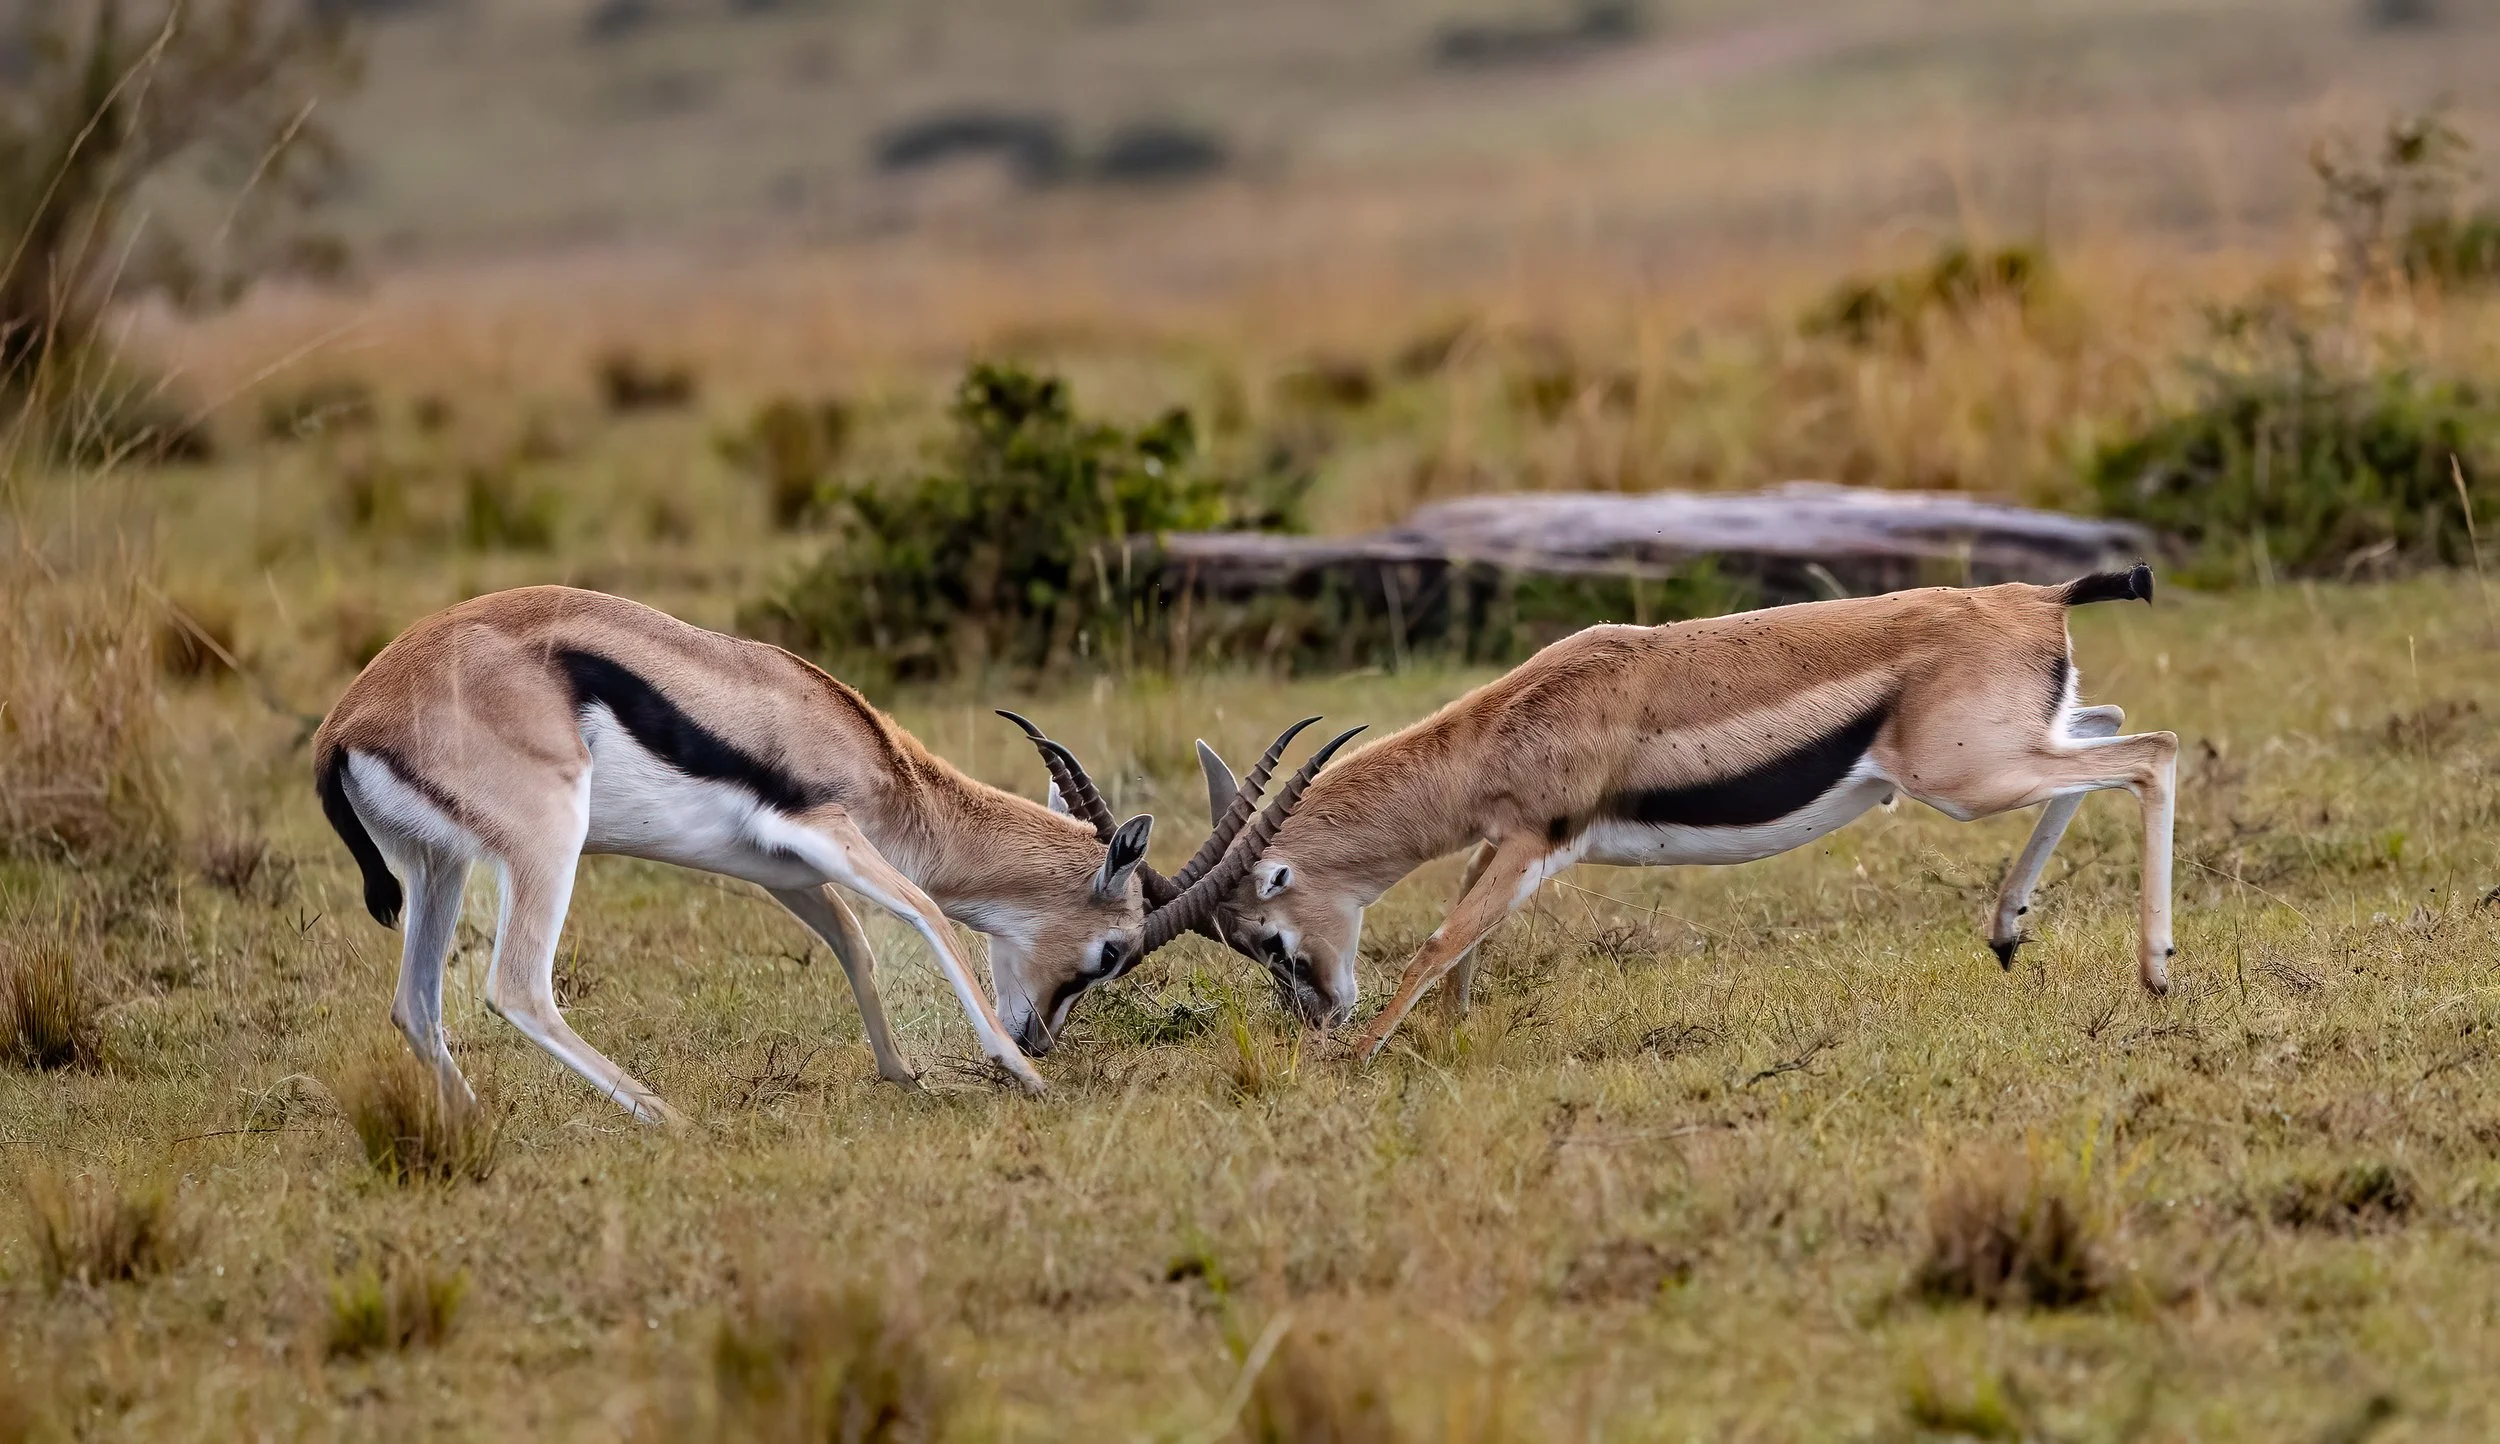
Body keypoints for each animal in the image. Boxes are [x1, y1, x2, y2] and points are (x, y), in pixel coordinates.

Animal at [312, 585, 1344, 1122]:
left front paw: (902, 1074)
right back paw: (663, 1114)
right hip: (544, 848)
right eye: (1112, 952)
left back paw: (474, 1127)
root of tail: (350, 718)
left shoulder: (783, 865)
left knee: (415, 1003)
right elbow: (923, 913)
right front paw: (1023, 1079)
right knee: (516, 987)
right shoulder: (830, 832)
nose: (1037, 1035)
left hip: (438, 869)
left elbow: (851, 941)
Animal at [1167, 567, 2176, 1060]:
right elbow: (1465, 942)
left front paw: (1361, 1059)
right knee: (2109, 725)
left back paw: (2155, 975)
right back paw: (2007, 931)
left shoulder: (1532, 843)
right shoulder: (1506, 846)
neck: (1517, 720)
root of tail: (2039, 598)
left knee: (2154, 752)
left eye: (1263, 934)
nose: (1317, 1020)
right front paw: (1452, 1038)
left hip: (1970, 780)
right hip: (2008, 758)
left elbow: (1439, 941)